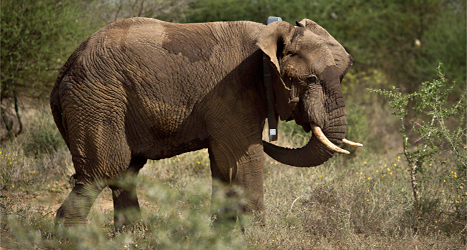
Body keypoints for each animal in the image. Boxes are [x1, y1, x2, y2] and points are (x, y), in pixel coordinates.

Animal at [50, 17, 362, 229]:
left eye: (342, 76)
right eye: (310, 79)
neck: (272, 33)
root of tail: (68, 63)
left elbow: (223, 163)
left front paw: (221, 233)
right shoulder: (232, 88)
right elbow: (242, 157)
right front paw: (257, 236)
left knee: (126, 172)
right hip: (98, 99)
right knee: (102, 171)